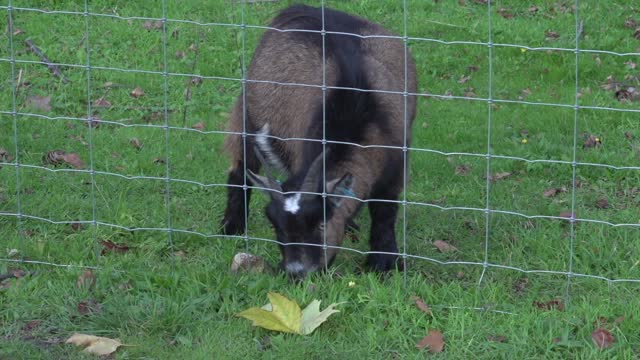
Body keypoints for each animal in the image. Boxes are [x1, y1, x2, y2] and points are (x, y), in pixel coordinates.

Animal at [222, 4, 418, 278]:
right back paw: (232, 226)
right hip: (247, 114)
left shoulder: (396, 167)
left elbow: (384, 212)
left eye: (321, 225)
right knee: (241, 168)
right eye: (277, 227)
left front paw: (384, 263)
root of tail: (302, 8)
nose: (296, 272)